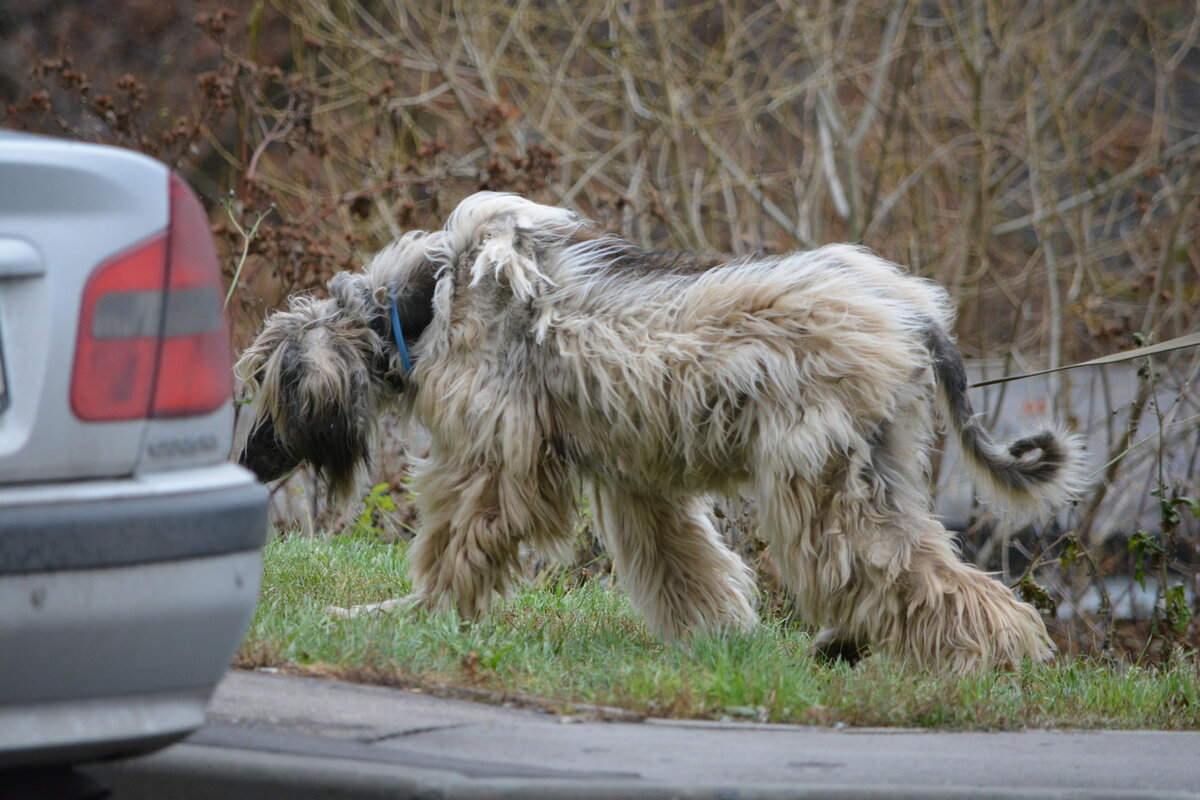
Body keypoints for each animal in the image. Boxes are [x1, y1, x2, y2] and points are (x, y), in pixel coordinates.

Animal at [238, 190, 1084, 671]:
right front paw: (715, 637)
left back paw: (998, 657)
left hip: (823, 468)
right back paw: (853, 644)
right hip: (877, 459)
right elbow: (681, 566)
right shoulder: (634, 477)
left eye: (267, 391)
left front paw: (414, 616)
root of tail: (910, 313)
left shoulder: (495, 458)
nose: (248, 460)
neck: (419, 306)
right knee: (898, 560)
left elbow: (458, 545)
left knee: (902, 569)